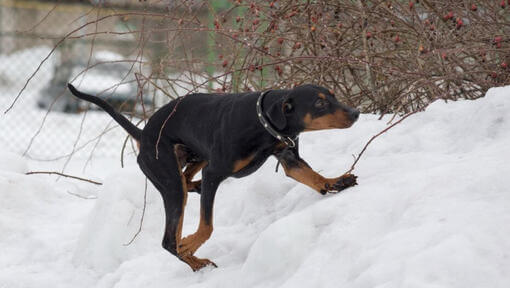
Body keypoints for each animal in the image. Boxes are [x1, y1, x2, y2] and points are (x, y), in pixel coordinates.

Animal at [66, 82, 358, 270]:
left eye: (332, 96)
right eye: (320, 102)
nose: (356, 112)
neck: (262, 120)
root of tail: (144, 134)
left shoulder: (289, 159)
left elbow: (314, 177)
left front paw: (337, 181)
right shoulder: (214, 173)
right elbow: (207, 226)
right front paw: (191, 245)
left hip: (193, 159)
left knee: (187, 183)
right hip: (172, 179)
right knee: (169, 239)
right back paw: (194, 261)